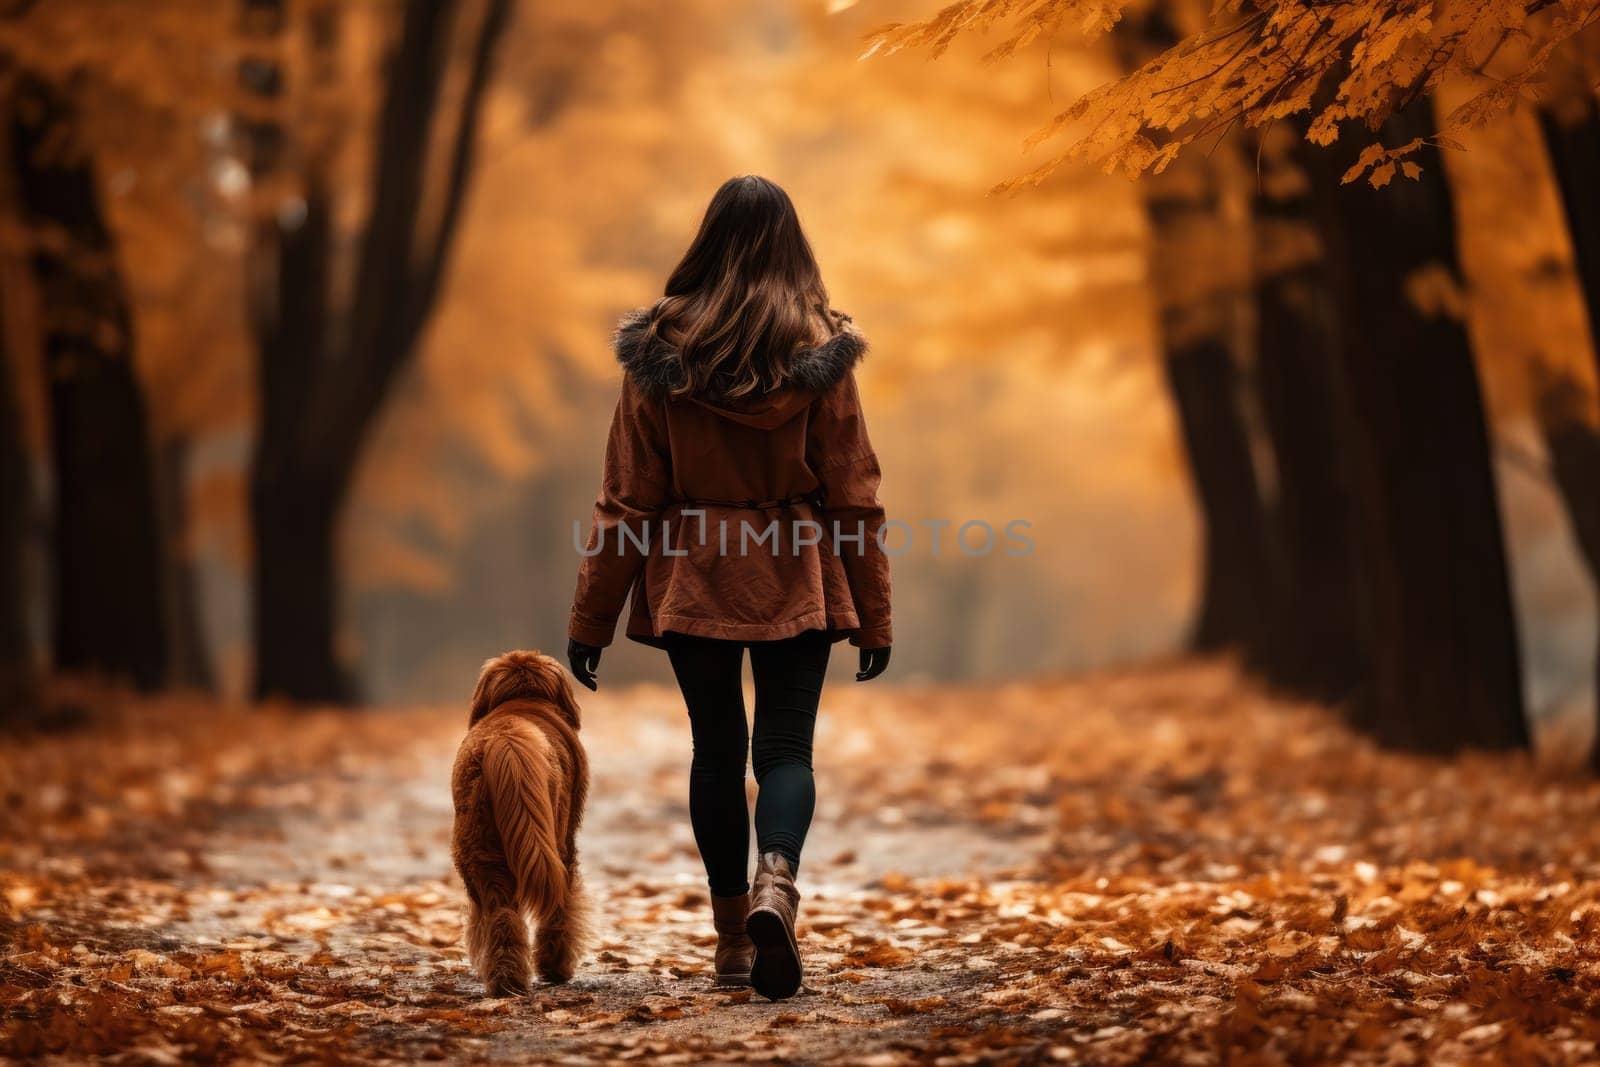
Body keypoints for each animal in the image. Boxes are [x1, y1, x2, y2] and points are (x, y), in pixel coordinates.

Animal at [451, 652, 588, 1004]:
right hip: (556, 842)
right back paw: (552, 968)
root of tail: (507, 740)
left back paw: (505, 983)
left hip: (479, 851)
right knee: (557, 906)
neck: (523, 702)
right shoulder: (569, 838)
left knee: (500, 916)